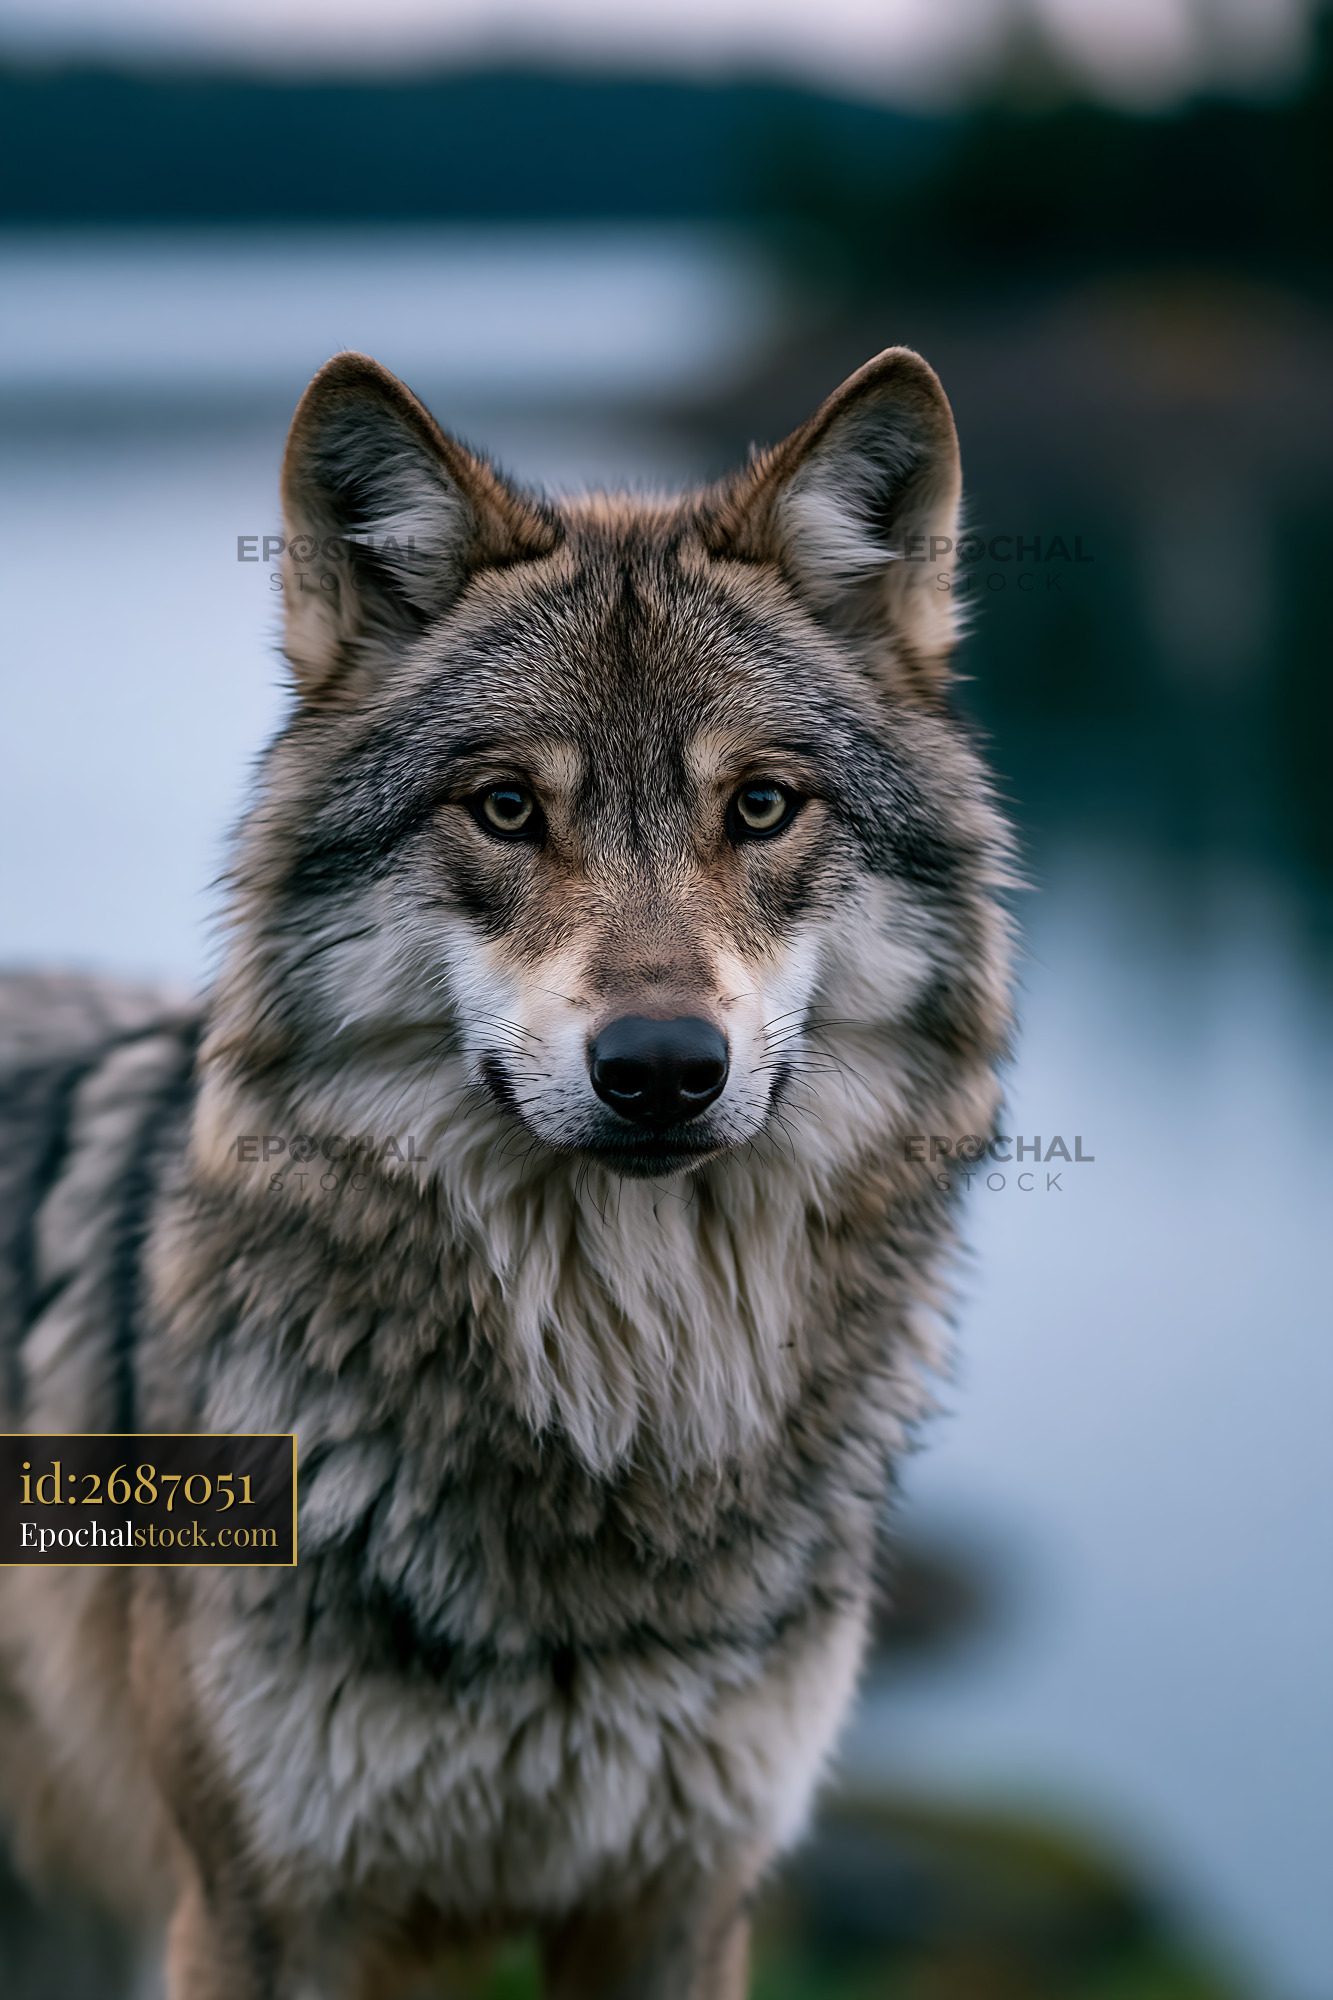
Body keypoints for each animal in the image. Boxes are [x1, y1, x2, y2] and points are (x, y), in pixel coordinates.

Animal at [0, 346, 1011, 1998]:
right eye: (507, 808)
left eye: (759, 806)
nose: (661, 1066)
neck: (619, 1397)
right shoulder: (257, 1912)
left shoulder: (682, 1901)